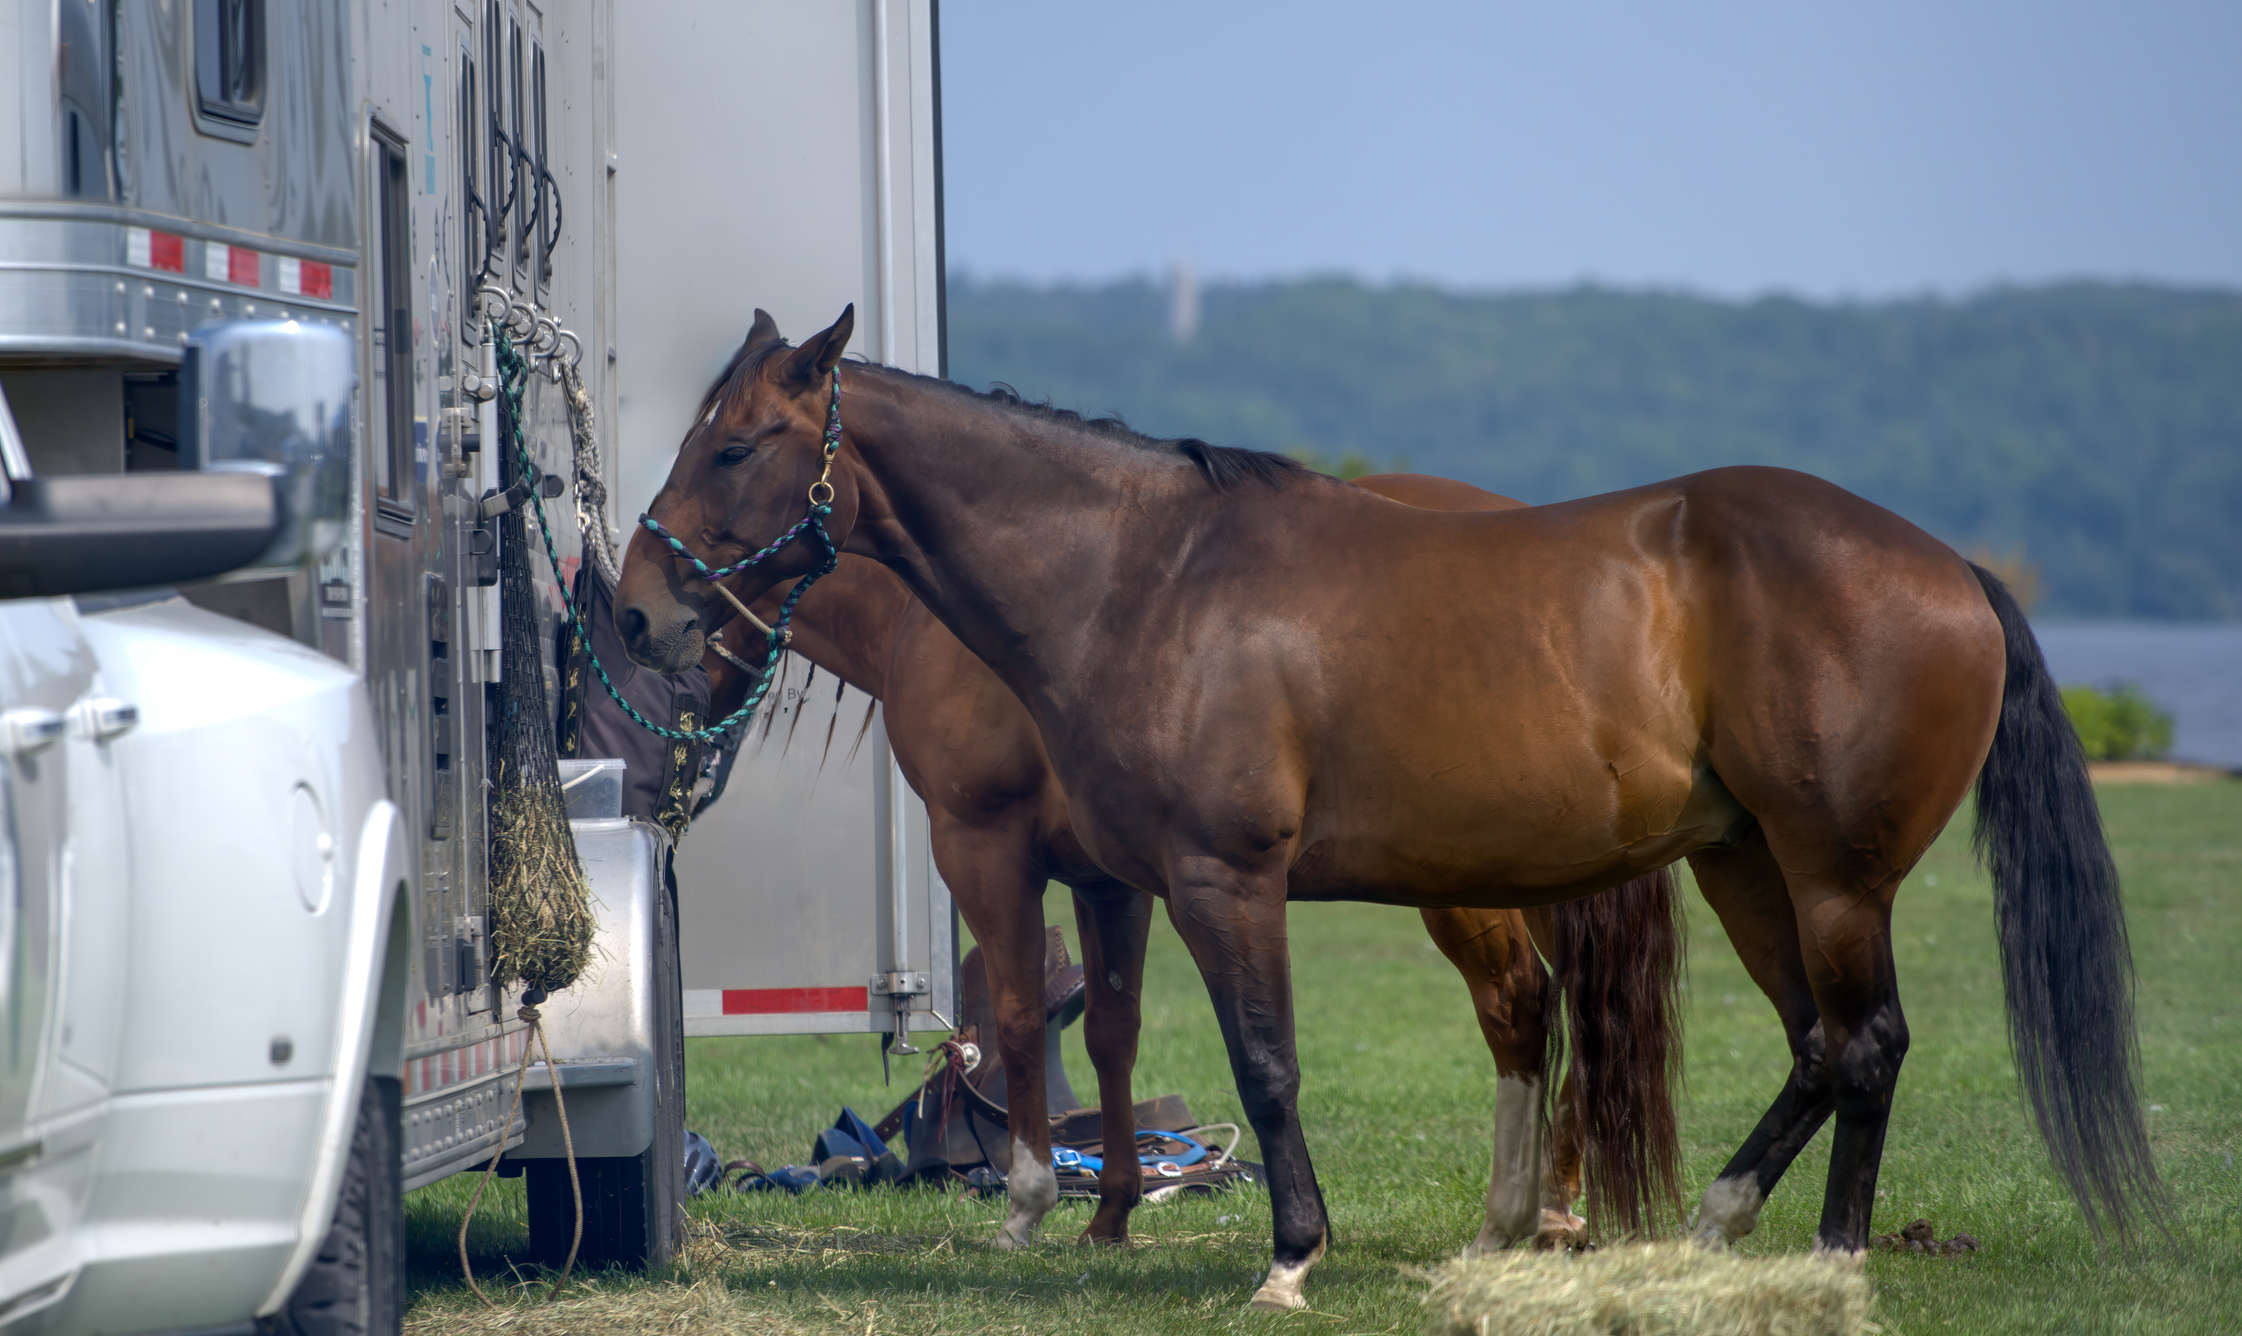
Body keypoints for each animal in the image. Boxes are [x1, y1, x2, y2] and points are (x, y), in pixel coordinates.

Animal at [700, 469, 1686, 1251]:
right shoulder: (1110, 879)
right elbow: (1111, 1032)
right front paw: (1111, 1214)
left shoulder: (987, 852)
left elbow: (1017, 1021)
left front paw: (1029, 1210)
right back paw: (1555, 1204)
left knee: (1518, 1004)